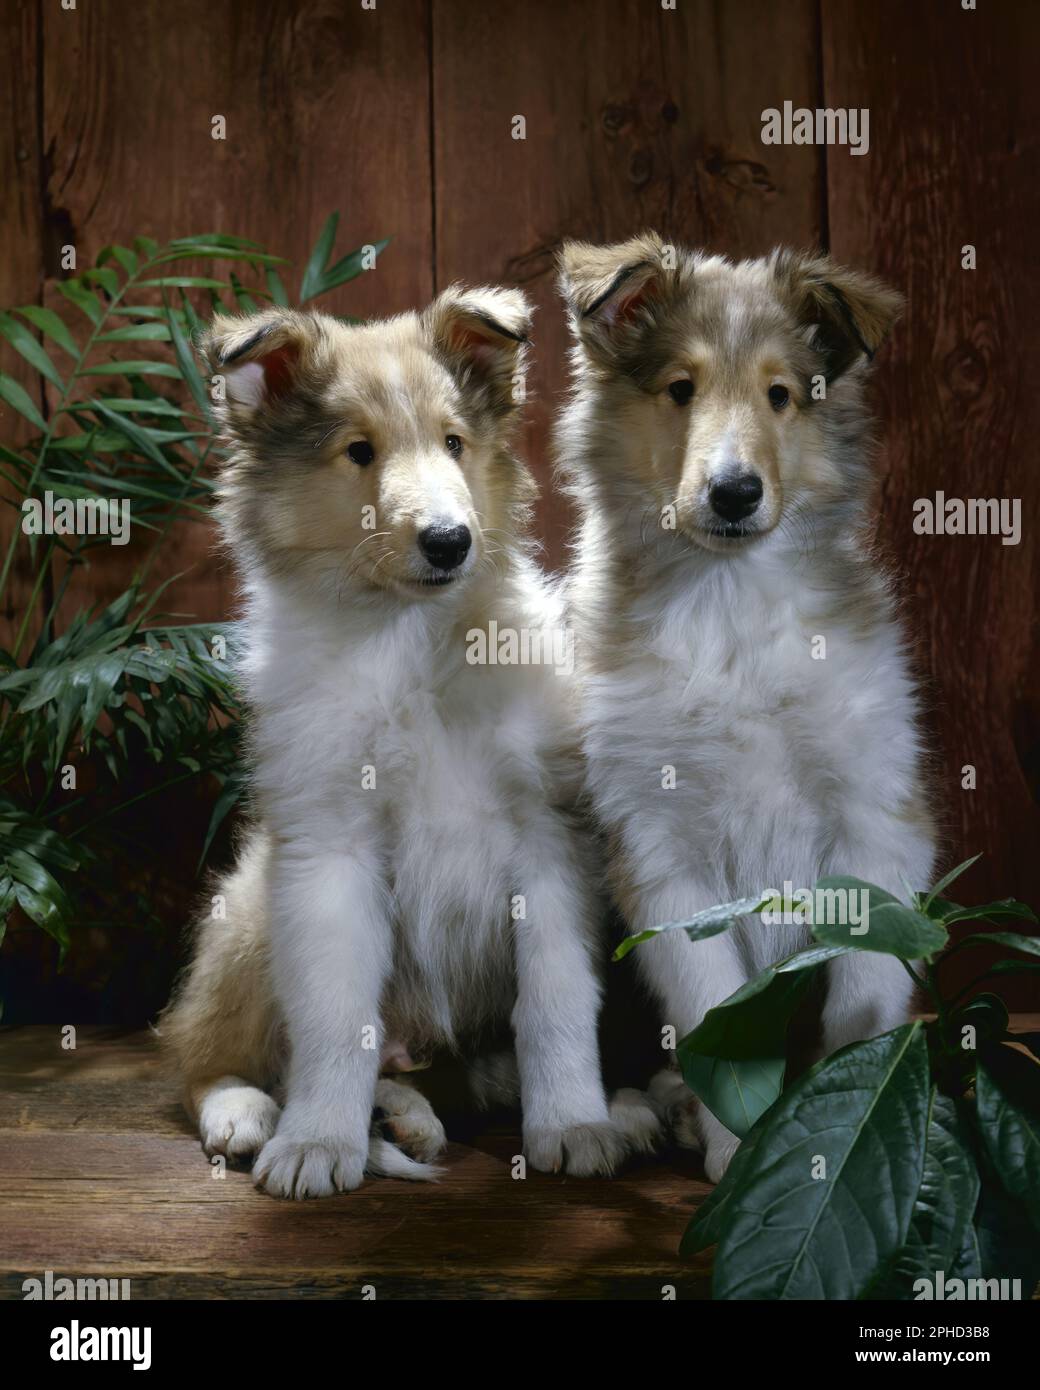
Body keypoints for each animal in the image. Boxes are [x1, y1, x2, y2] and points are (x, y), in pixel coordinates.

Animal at [160, 290, 659, 1195]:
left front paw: (575, 1125)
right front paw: (317, 1143)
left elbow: (557, 1000)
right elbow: (333, 1018)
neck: (407, 641)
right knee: (200, 1052)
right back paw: (250, 1114)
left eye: (455, 441)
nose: (449, 540)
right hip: (250, 906)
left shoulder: (550, 836)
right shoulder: (328, 846)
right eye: (358, 451)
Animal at [556, 236, 939, 1184]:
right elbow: (710, 1006)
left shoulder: (877, 819)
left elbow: (864, 988)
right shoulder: (657, 849)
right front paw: (738, 1144)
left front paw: (841, 1109)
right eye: (679, 388)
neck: (725, 598)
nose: (733, 493)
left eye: (780, 394)